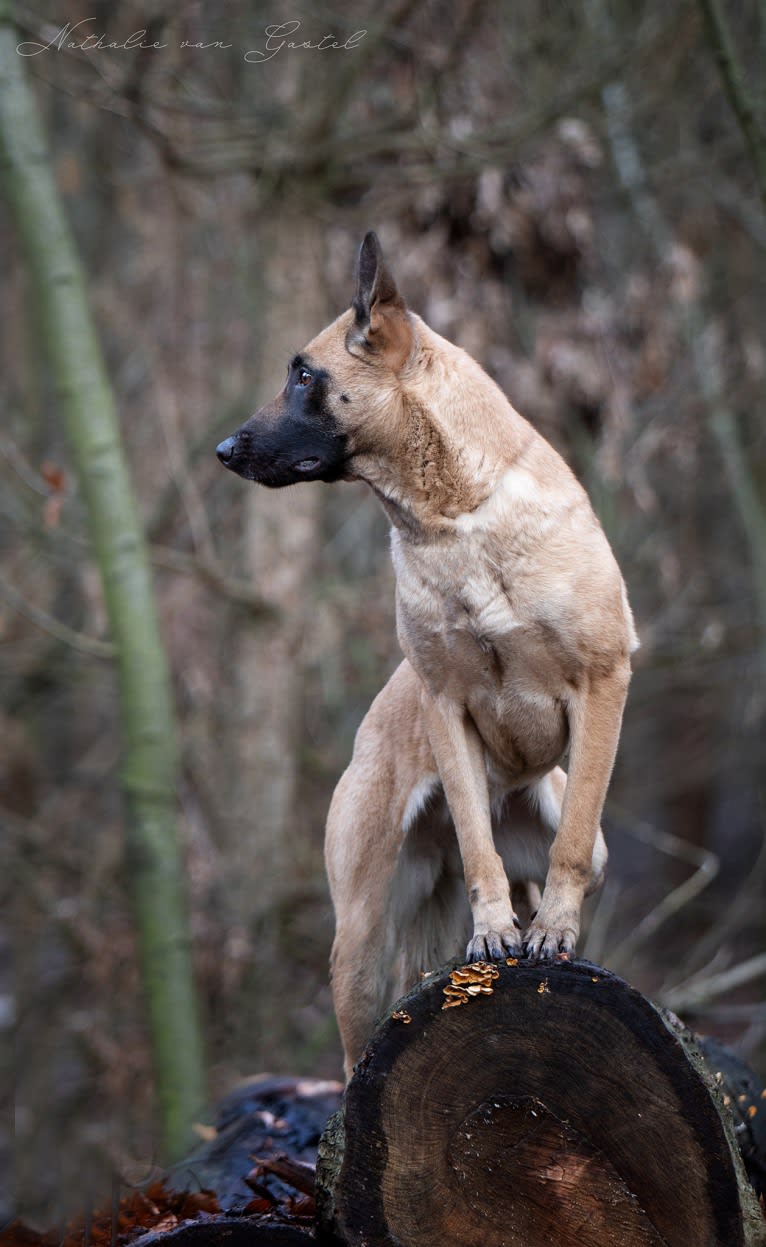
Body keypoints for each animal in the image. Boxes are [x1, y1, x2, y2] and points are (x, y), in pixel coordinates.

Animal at [219, 235, 638, 1082]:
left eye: (305, 376)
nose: (222, 450)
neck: (456, 518)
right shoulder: (448, 705)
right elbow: (478, 843)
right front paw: (492, 931)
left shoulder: (604, 682)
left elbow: (573, 840)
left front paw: (552, 930)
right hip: (358, 943)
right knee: (353, 1062)